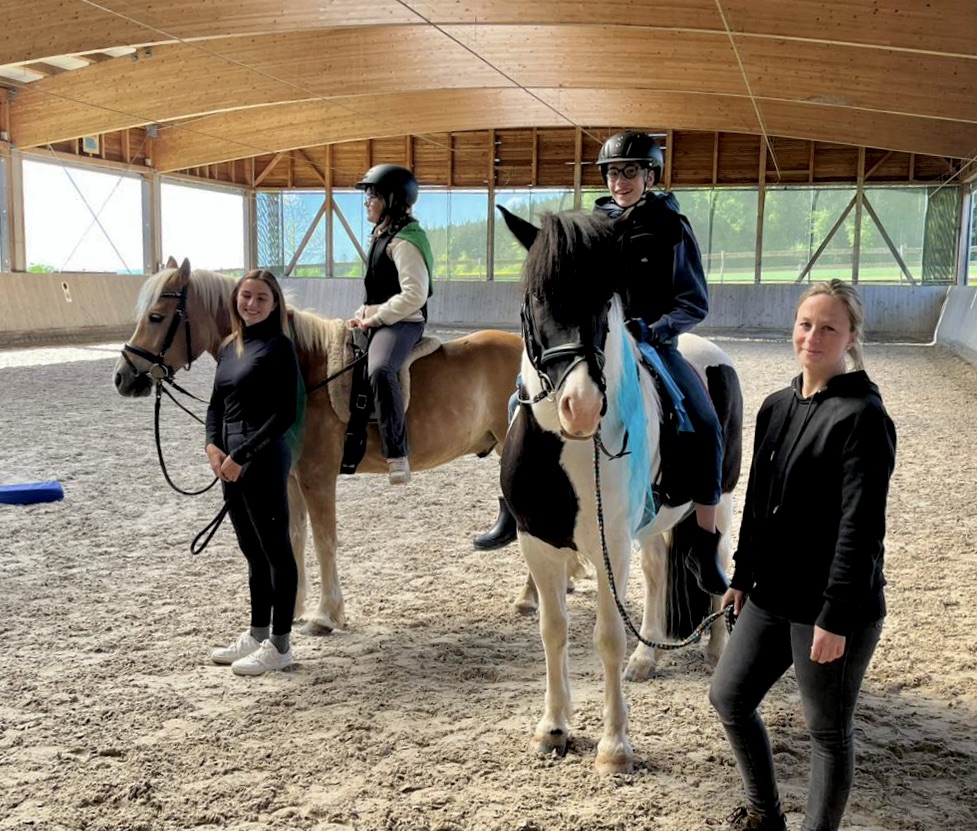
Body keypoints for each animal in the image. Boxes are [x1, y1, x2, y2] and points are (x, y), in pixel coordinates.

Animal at [113, 257, 523, 634]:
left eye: (155, 317)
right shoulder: (290, 478)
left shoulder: (317, 477)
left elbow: (325, 540)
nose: (123, 377)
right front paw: (292, 608)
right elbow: (293, 539)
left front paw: (326, 615)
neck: (301, 368)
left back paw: (526, 599)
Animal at [497, 207, 743, 774]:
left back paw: (716, 650)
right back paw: (646, 657)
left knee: (717, 564)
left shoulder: (609, 546)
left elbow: (607, 637)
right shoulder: (537, 543)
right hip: (651, 526)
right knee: (656, 575)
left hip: (717, 504)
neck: (565, 453)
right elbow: (553, 630)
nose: (581, 406)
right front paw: (554, 728)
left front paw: (614, 749)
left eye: (604, 304)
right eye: (535, 298)